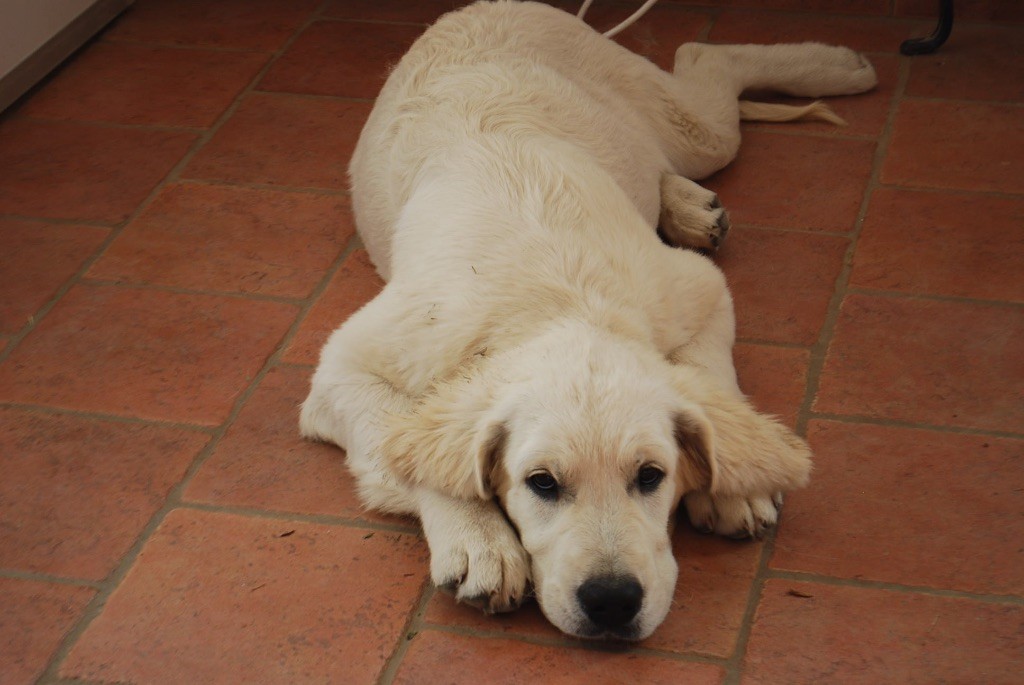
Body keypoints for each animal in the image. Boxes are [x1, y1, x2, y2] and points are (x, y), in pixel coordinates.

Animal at [299, 0, 876, 643]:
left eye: (650, 476)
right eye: (542, 484)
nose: (612, 602)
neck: (558, 302)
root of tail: (487, 6)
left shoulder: (696, 289)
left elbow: (709, 375)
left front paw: (735, 482)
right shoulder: (349, 366)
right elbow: (414, 447)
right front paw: (479, 541)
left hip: (691, 131)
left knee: (703, 61)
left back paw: (833, 70)